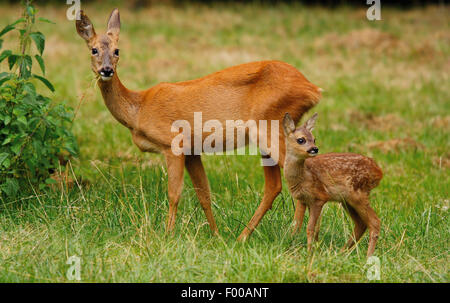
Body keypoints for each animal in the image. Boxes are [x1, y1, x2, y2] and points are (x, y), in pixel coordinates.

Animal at [78, 8, 324, 241]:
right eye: (94, 49)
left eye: (117, 50)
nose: (106, 70)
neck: (138, 108)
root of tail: (312, 88)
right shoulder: (192, 150)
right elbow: (203, 193)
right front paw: (216, 235)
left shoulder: (172, 142)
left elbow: (174, 193)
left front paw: (167, 236)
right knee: (274, 186)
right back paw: (244, 236)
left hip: (269, 125)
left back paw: (292, 235)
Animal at [284, 113, 382, 256]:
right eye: (301, 140)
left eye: (314, 139)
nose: (314, 149)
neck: (303, 176)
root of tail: (379, 172)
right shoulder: (302, 200)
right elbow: (296, 226)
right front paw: (291, 247)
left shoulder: (319, 197)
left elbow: (310, 228)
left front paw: (309, 253)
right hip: (347, 200)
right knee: (361, 224)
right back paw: (341, 253)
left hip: (358, 194)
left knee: (375, 222)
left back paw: (367, 256)